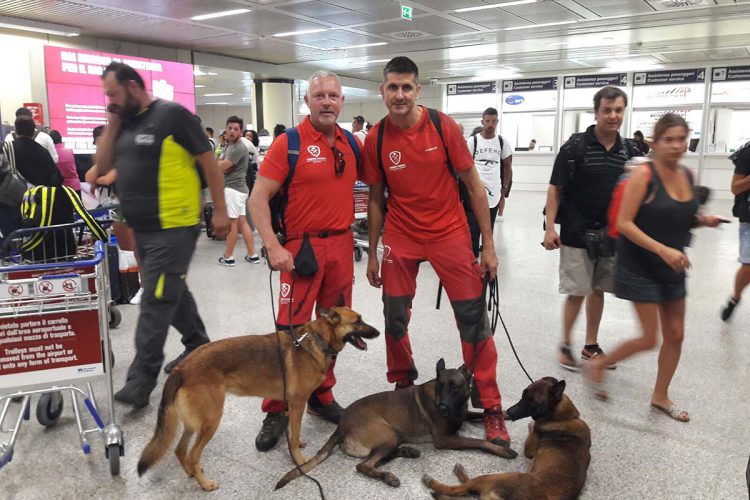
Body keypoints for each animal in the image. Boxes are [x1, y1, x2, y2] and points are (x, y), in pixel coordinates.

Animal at [135, 306, 378, 490]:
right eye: (358, 321)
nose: (377, 332)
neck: (316, 341)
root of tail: (182, 368)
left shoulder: (294, 405)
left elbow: (293, 430)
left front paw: (297, 442)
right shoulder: (298, 402)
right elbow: (294, 433)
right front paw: (299, 461)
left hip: (195, 423)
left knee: (180, 450)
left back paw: (192, 474)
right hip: (211, 421)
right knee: (192, 455)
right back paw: (205, 484)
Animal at [276, 360, 516, 492]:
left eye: (455, 386)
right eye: (441, 386)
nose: (442, 407)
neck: (455, 406)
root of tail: (342, 423)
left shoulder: (463, 415)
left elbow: (477, 414)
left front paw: (504, 413)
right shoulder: (446, 439)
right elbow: (479, 442)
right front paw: (502, 450)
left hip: (393, 436)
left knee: (379, 457)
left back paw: (408, 451)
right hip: (388, 433)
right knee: (364, 465)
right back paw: (387, 476)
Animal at [424, 378, 592, 500]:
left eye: (533, 403)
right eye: (523, 394)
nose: (509, 412)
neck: (565, 417)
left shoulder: (530, 448)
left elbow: (533, 426)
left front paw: (531, 423)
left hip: (495, 478)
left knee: (457, 489)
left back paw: (433, 483)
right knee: (467, 490)